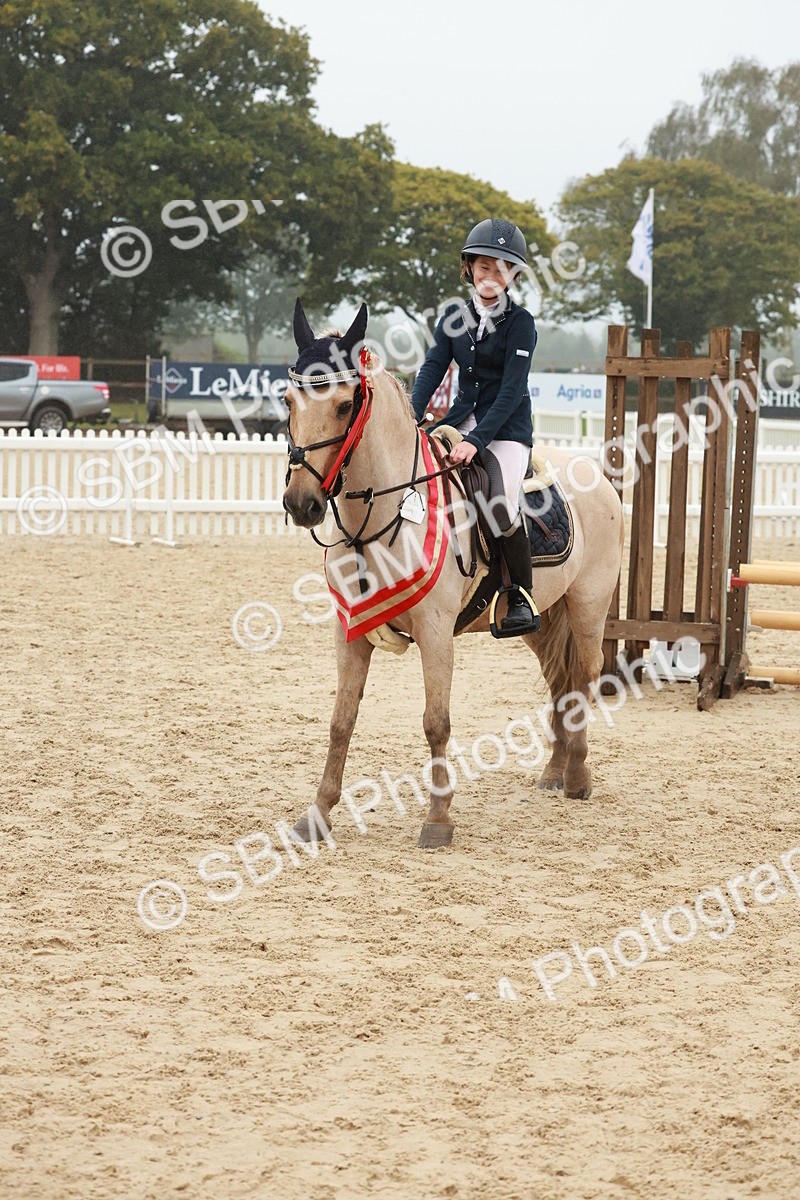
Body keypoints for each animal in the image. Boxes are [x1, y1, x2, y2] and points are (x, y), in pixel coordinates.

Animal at [282, 301, 624, 849]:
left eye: (344, 405)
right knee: (560, 682)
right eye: (289, 400)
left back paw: (577, 778)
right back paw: (554, 774)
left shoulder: (437, 632)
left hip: (588, 607)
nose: (301, 504)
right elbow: (341, 721)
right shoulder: (349, 632)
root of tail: (598, 477)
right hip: (542, 617)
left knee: (585, 677)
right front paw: (317, 815)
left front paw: (438, 819)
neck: (379, 518)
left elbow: (435, 722)